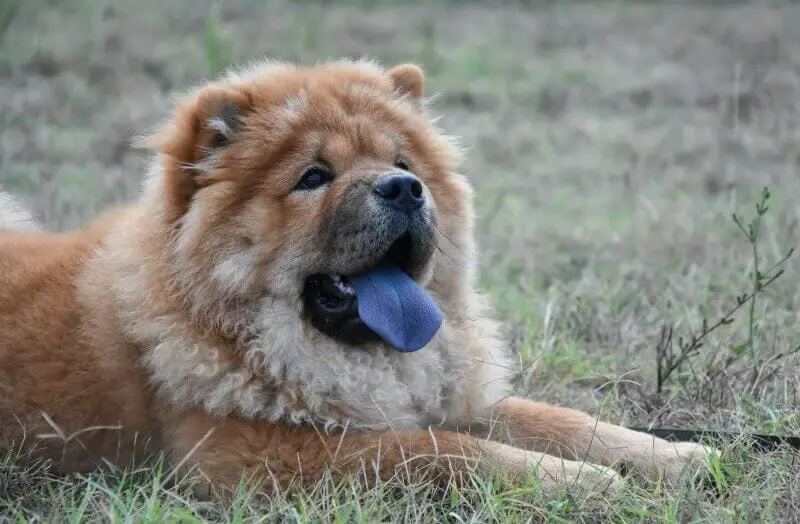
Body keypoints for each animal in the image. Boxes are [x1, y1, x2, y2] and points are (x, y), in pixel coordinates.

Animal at [0, 59, 712, 498]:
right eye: (313, 178)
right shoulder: (254, 455)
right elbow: (438, 451)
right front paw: (579, 482)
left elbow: (561, 420)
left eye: (403, 162)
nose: (403, 188)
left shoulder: (447, 399)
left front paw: (676, 458)